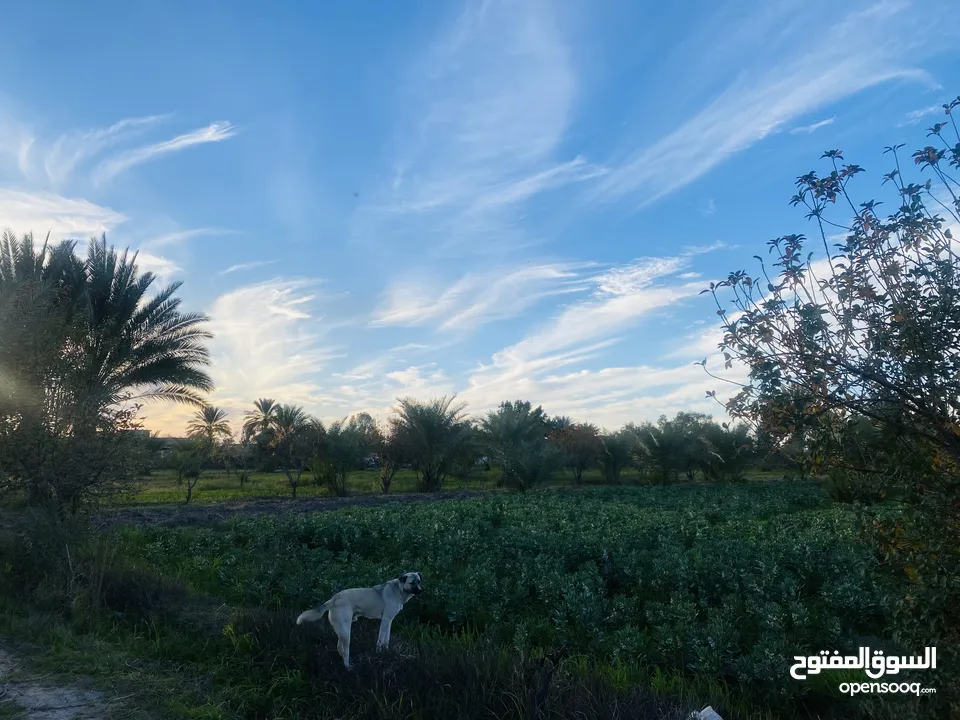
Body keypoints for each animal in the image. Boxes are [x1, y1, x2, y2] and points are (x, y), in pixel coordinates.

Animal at [296, 572, 424, 668]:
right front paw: (379, 654)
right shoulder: (385, 620)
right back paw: (348, 668)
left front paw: (386, 651)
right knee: (345, 650)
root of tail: (333, 598)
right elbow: (380, 640)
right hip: (346, 632)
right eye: (412, 583)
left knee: (339, 647)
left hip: (341, 631)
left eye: (419, 581)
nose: (421, 590)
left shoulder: (389, 621)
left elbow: (386, 640)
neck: (398, 589)